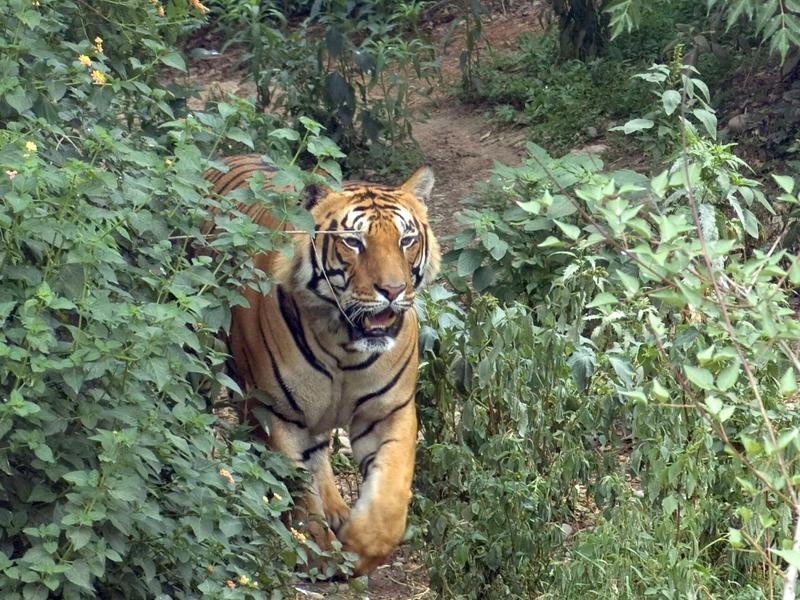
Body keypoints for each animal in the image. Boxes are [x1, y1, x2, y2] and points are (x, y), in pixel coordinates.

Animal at [200, 152, 438, 576]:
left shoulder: (389, 411)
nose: (393, 290)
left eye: (406, 240)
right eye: (354, 242)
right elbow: (295, 485)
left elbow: (389, 498)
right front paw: (313, 548)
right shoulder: (274, 411)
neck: (345, 346)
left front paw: (359, 547)